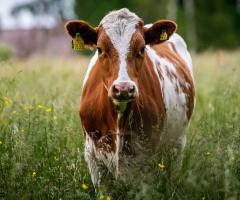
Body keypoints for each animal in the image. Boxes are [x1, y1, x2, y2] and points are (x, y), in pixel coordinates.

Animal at [65, 7, 195, 189]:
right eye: (100, 49)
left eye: (141, 49)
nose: (124, 88)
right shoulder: (93, 158)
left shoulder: (147, 159)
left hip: (178, 144)